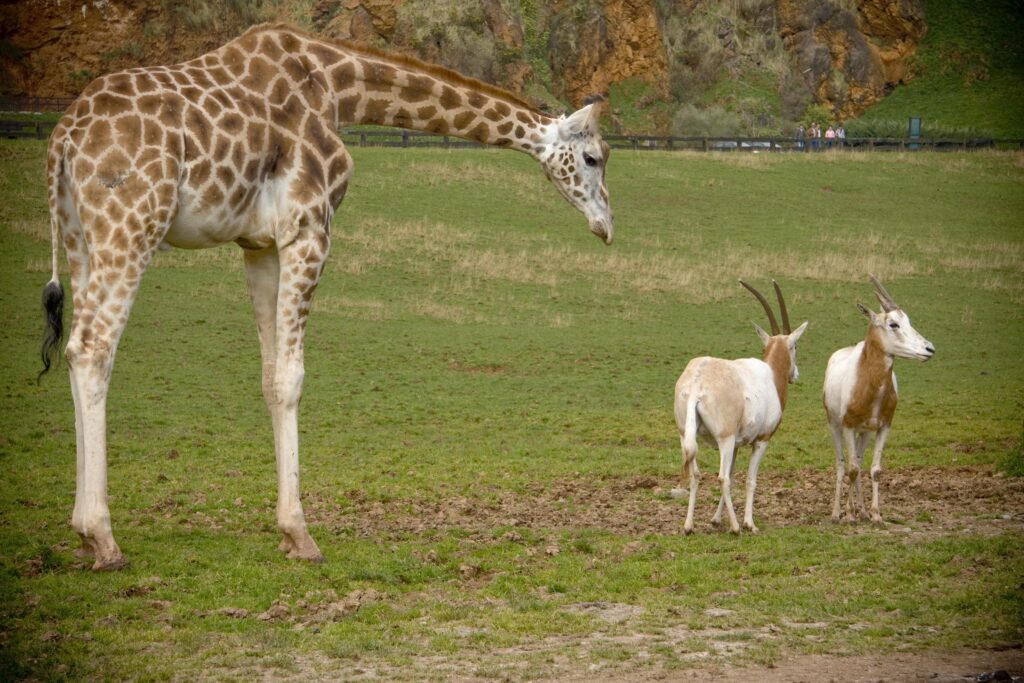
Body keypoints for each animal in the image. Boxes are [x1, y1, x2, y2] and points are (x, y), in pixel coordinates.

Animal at [39, 21, 610, 569]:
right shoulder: (309, 229)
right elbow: (292, 378)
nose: (606, 226)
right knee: (93, 349)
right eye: (592, 157)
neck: (338, 88)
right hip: (132, 227)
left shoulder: (260, 245)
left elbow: (270, 376)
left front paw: (286, 535)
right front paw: (301, 535)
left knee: (74, 349)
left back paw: (82, 535)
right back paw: (104, 539)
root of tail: (64, 138)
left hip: (79, 238)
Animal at [671, 282, 806, 532]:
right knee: (721, 477)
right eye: (796, 346)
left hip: (686, 434)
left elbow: (734, 477)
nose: (796, 375)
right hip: (724, 437)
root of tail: (697, 384)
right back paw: (735, 528)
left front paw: (715, 519)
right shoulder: (761, 440)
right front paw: (750, 523)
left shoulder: (735, 445)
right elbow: (749, 480)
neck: (771, 374)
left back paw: (688, 526)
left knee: (696, 475)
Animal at [823, 276, 937, 524]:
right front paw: (849, 514)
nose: (929, 349)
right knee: (842, 464)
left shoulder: (884, 426)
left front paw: (875, 515)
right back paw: (837, 514)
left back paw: (863, 511)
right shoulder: (848, 426)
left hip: (865, 432)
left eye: (908, 320)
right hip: (835, 425)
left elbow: (874, 469)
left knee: (858, 460)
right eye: (893, 324)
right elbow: (851, 469)